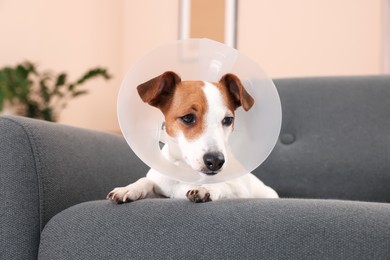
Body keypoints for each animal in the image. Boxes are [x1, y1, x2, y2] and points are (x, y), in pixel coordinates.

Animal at [106, 71, 278, 203]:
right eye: (188, 117)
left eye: (228, 120)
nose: (216, 161)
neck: (187, 171)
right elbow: (146, 181)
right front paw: (129, 188)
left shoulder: (240, 190)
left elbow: (225, 185)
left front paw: (206, 188)